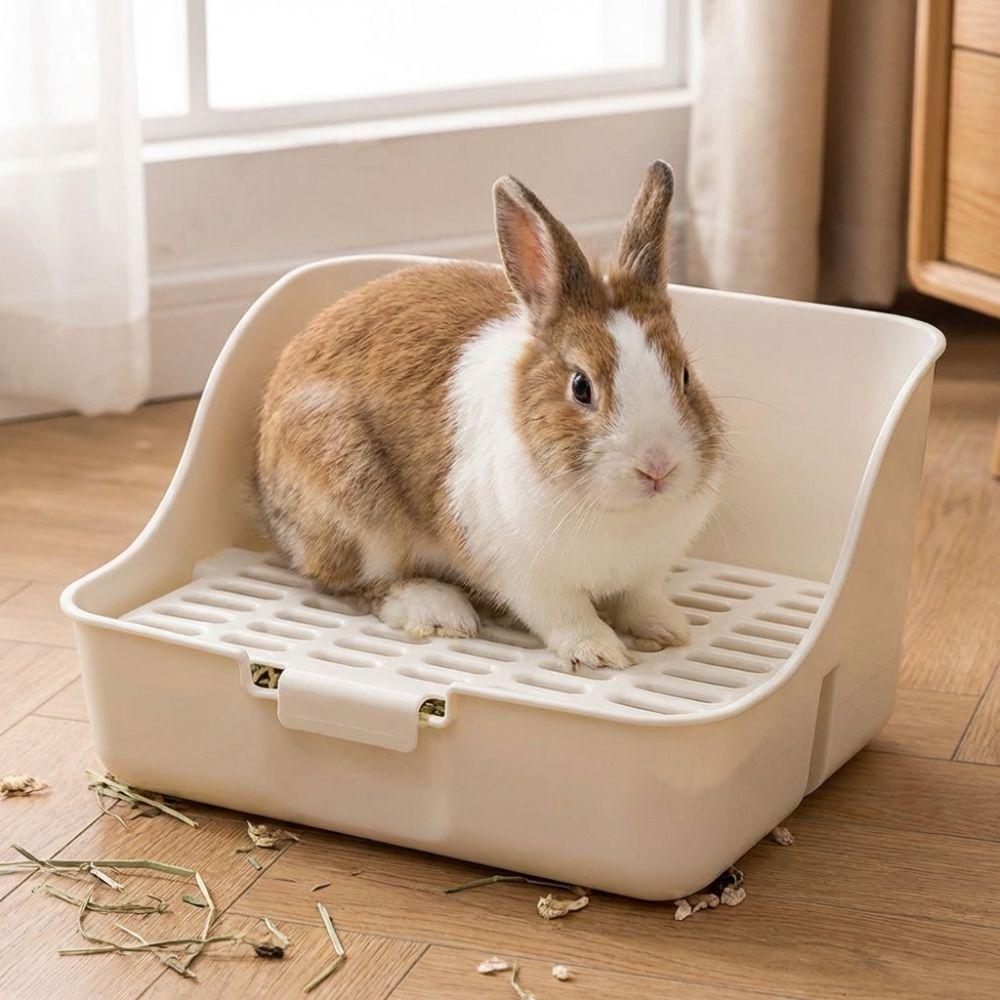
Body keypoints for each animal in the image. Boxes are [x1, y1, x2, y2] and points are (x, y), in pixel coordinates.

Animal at [254, 161, 725, 670]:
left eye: (685, 375)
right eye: (581, 387)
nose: (658, 467)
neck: (621, 511)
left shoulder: (643, 573)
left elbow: (640, 599)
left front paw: (670, 629)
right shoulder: (525, 575)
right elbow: (565, 612)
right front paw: (598, 653)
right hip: (355, 506)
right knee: (350, 581)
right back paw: (437, 609)